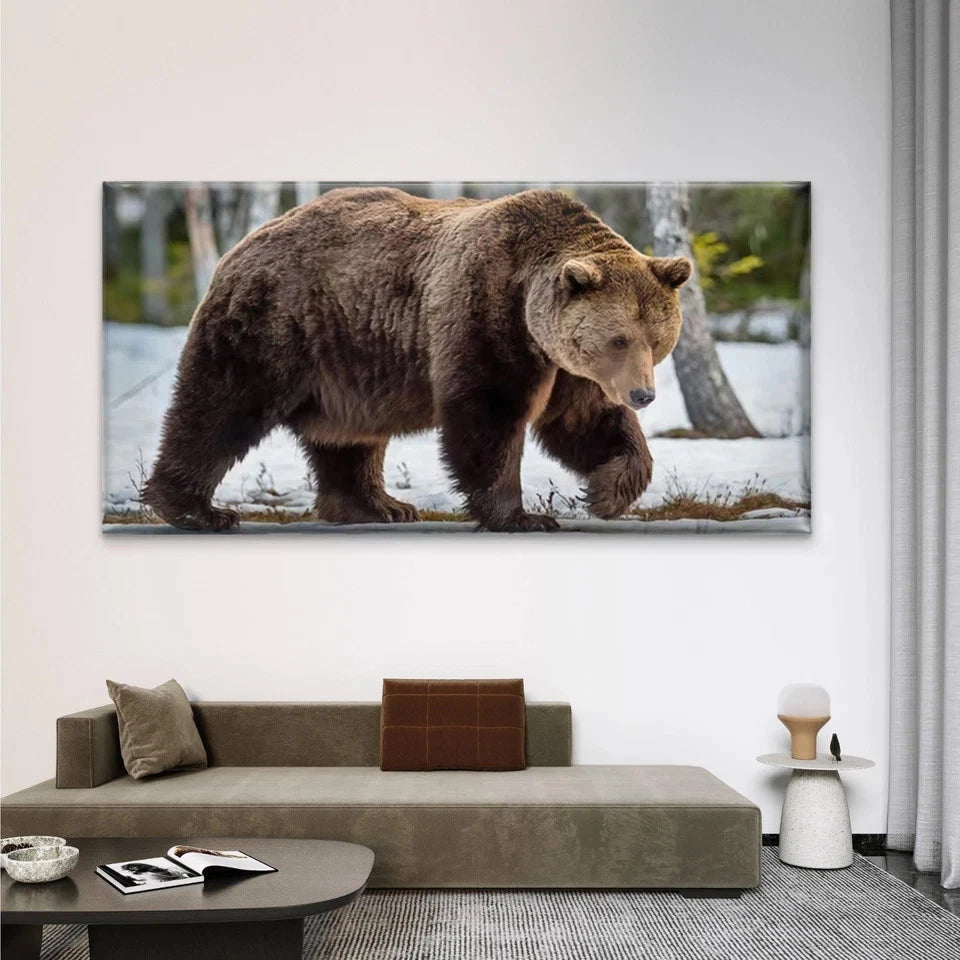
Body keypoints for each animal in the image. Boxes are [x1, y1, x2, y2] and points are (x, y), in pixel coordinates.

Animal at [144, 187, 691, 532]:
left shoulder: (565, 366)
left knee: (348, 439)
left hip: (348, 361)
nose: (643, 394)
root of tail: (240, 246)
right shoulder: (485, 316)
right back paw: (195, 509)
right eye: (618, 339)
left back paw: (379, 505)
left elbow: (585, 422)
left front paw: (605, 492)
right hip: (277, 326)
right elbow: (488, 417)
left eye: (657, 338)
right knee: (221, 407)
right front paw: (522, 516)